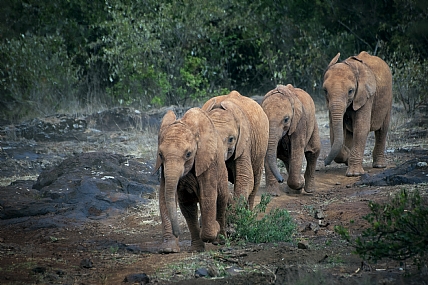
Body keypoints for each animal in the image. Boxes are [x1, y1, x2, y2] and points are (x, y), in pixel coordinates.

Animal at [153, 107, 229, 252]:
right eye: (160, 154)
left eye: (188, 154)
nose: (177, 233)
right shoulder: (163, 169)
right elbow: (164, 196)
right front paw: (168, 250)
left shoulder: (207, 162)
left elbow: (208, 196)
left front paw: (215, 228)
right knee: (188, 207)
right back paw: (197, 249)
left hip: (222, 172)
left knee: (221, 200)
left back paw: (220, 240)